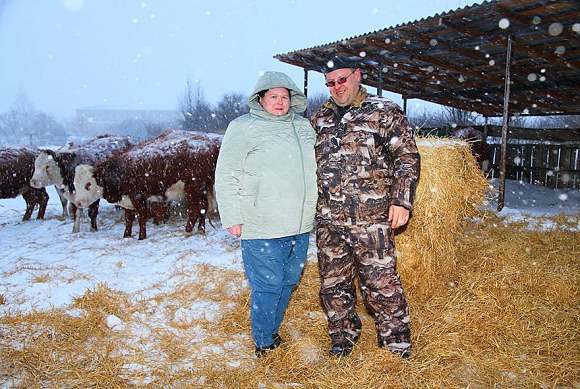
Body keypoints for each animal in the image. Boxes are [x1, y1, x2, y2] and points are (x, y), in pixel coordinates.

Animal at [73, 130, 222, 239]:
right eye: (74, 184)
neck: (118, 171)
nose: (78, 203)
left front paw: (141, 237)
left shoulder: (138, 197)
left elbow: (141, 217)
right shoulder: (128, 200)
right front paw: (126, 235)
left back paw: (187, 231)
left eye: (88, 184)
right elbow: (129, 218)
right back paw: (200, 229)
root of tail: (210, 145)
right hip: (202, 188)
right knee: (203, 207)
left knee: (195, 209)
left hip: (193, 188)